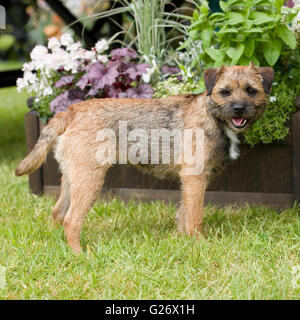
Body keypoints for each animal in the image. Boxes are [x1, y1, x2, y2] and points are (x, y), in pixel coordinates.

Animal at [15, 63, 274, 255]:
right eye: (225, 92)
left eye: (251, 90)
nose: (239, 108)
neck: (212, 115)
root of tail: (72, 110)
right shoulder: (195, 177)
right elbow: (195, 216)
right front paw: (200, 245)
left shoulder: (188, 181)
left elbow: (184, 213)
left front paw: (184, 241)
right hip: (90, 180)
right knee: (71, 219)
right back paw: (80, 255)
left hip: (74, 177)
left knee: (57, 212)